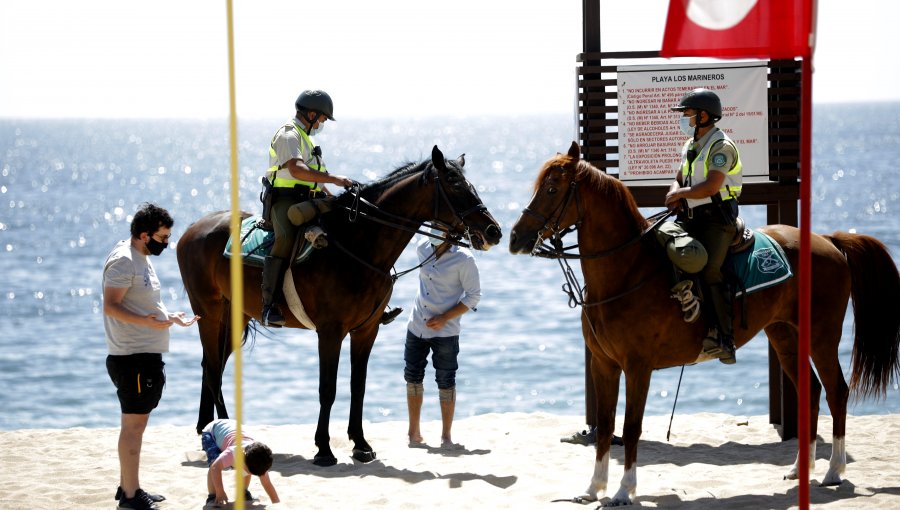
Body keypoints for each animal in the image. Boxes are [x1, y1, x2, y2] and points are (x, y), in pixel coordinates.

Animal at [176, 146, 500, 466]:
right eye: (455, 185)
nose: (493, 231)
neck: (358, 246)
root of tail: (192, 229)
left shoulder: (366, 331)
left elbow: (358, 386)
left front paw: (360, 444)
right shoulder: (330, 332)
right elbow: (327, 389)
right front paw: (324, 449)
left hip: (235, 316)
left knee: (212, 365)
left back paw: (209, 427)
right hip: (209, 313)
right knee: (213, 367)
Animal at [510, 141, 896, 504]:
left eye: (552, 188)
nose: (516, 237)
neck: (628, 271)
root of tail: (828, 241)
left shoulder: (638, 367)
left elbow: (631, 428)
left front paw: (623, 491)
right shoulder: (604, 365)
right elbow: (605, 427)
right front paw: (593, 488)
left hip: (821, 337)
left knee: (836, 391)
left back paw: (833, 471)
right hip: (785, 337)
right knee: (811, 393)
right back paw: (802, 468)